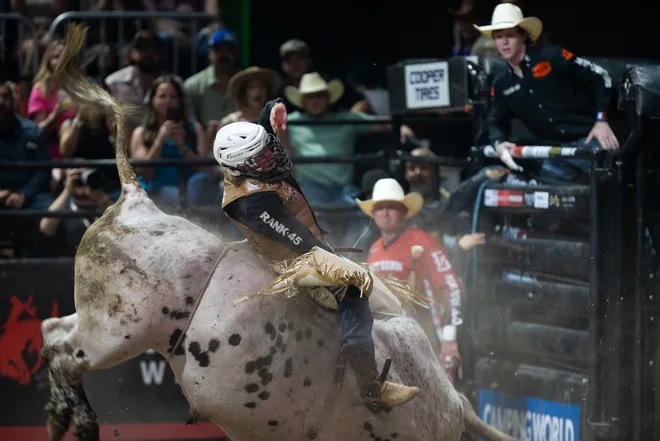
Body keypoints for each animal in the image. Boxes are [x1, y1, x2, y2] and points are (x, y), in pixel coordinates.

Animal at [40, 25, 518, 441]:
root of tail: (134, 197)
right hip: (115, 332)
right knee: (65, 353)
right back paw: (79, 421)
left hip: (94, 317)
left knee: (51, 331)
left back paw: (65, 416)